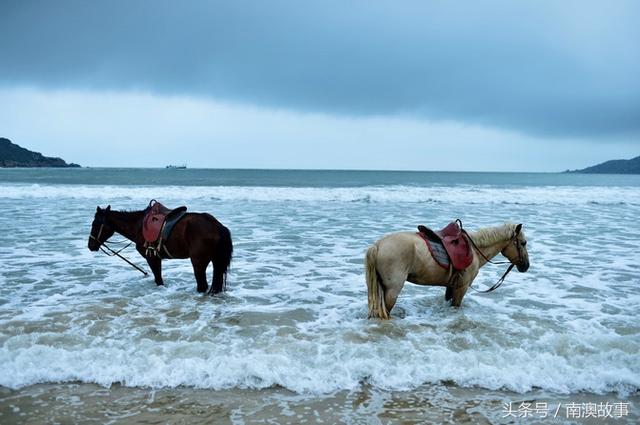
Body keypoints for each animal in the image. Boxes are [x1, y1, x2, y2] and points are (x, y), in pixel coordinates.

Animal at [87, 204, 232, 294]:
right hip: (215, 261)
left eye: (95, 224)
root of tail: (217, 225)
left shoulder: (152, 258)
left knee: (202, 285)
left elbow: (158, 280)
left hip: (198, 262)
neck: (139, 225)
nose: (90, 245)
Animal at [364, 222, 528, 318]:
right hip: (392, 291)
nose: (526, 266)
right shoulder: (462, 288)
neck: (474, 250)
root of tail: (377, 245)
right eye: (523, 243)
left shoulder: (451, 287)